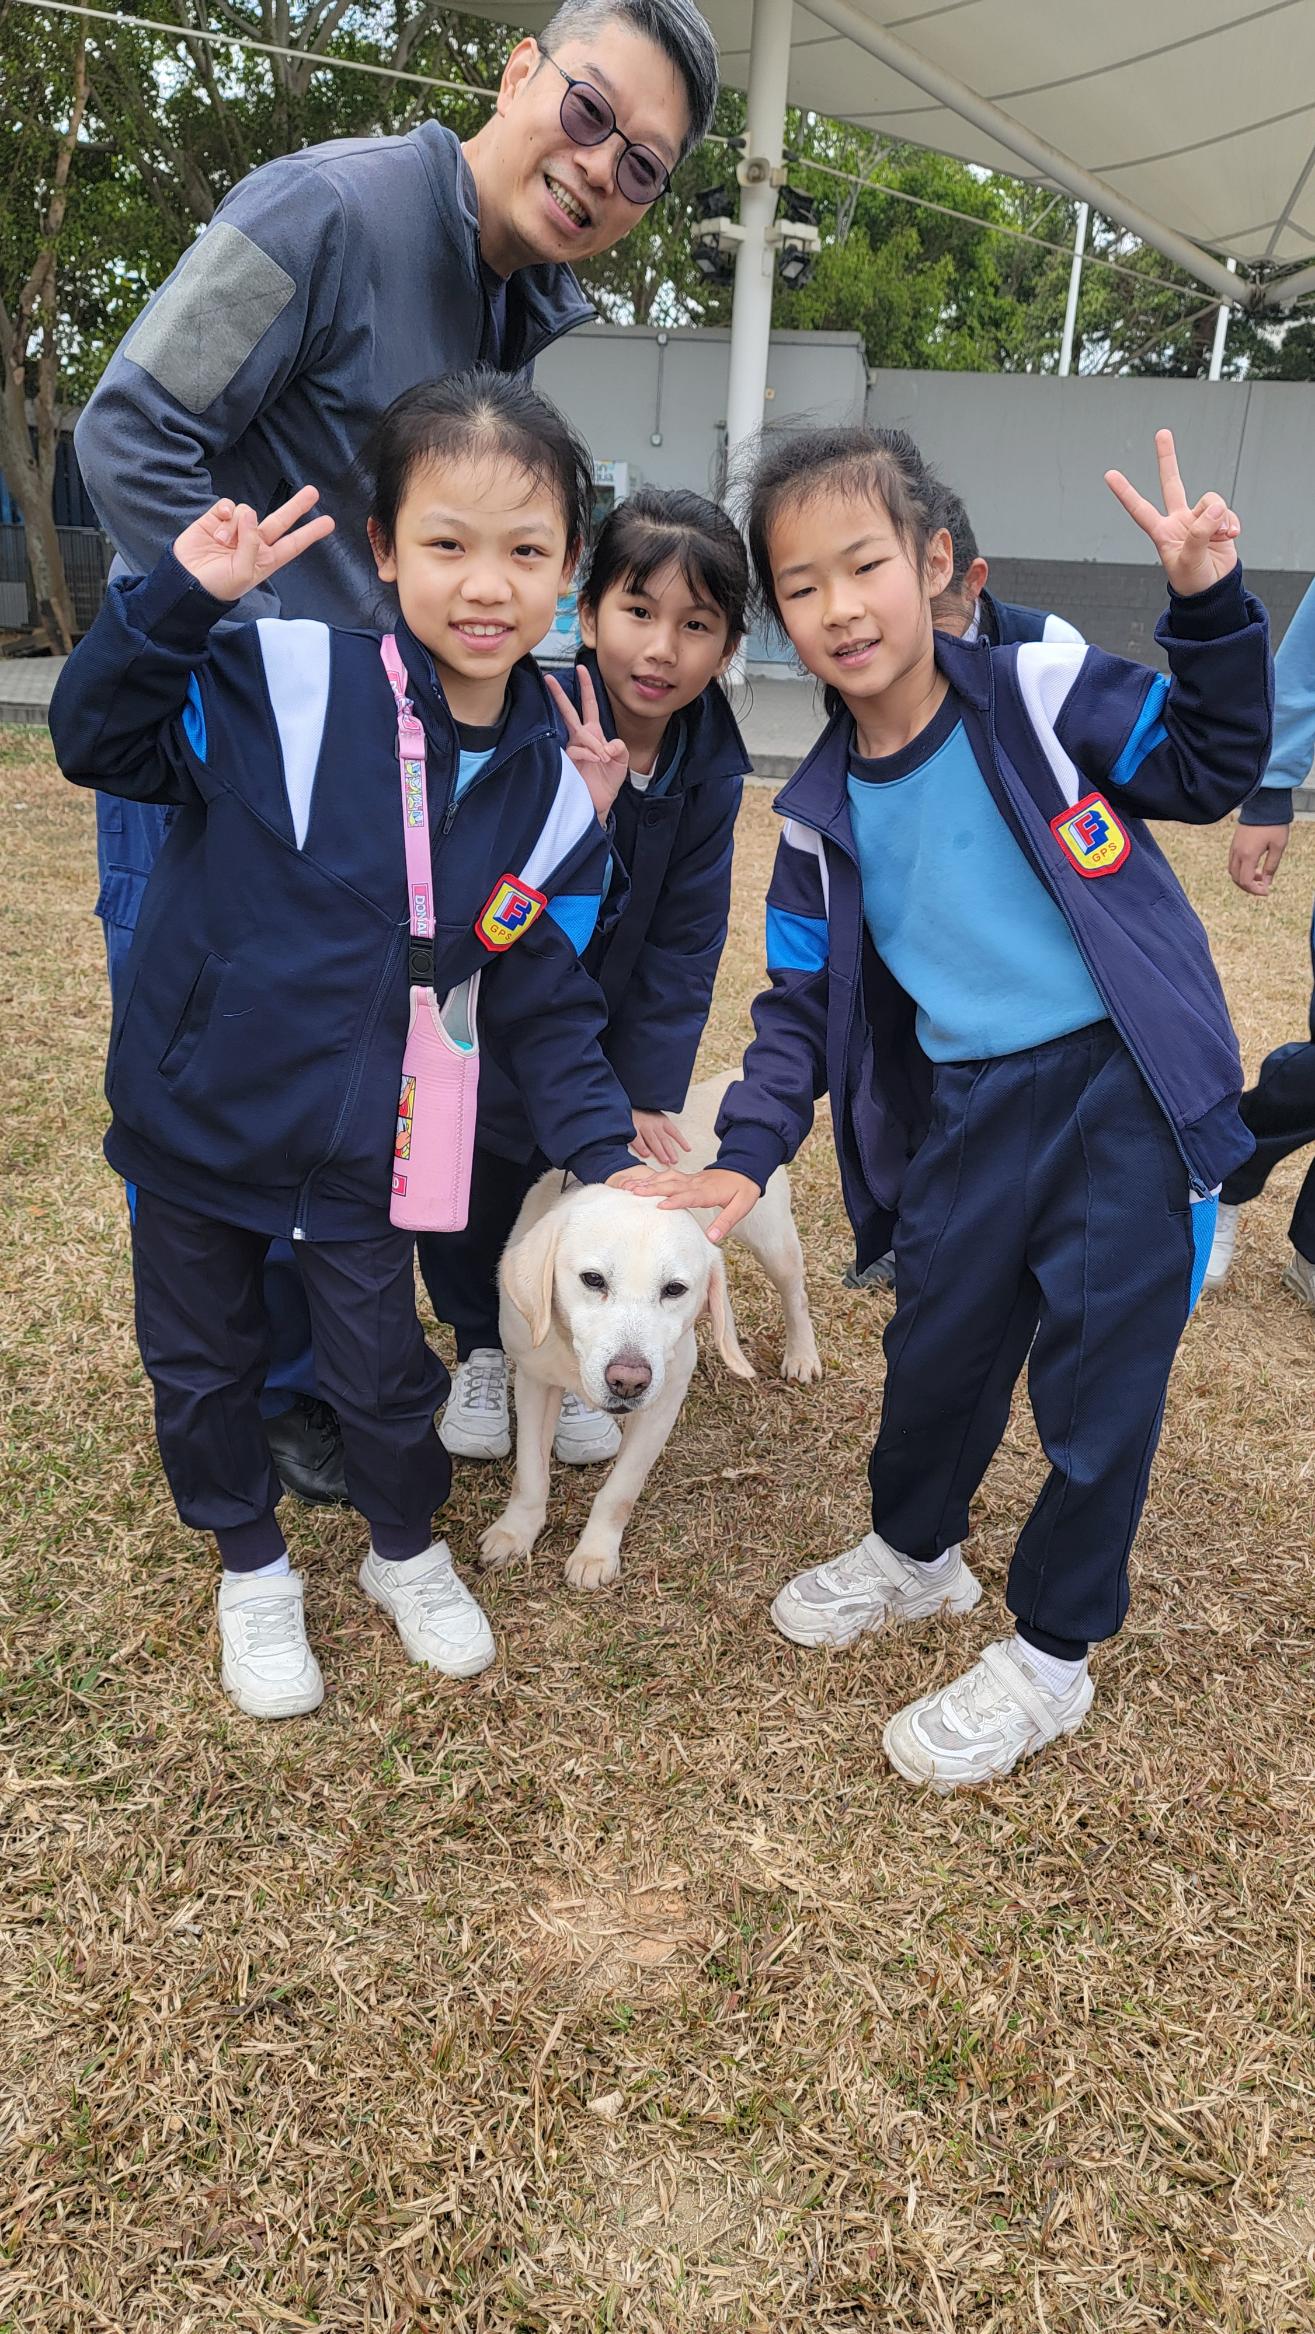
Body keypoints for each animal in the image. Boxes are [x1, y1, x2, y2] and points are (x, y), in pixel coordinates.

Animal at [479, 1071, 821, 1591]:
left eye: (674, 1289)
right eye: (592, 1279)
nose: (628, 1381)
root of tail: (722, 1082)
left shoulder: (665, 1397)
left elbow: (620, 1489)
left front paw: (595, 1554)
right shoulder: (534, 1380)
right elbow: (531, 1474)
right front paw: (514, 1532)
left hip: (773, 1240)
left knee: (794, 1295)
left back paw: (801, 1355)